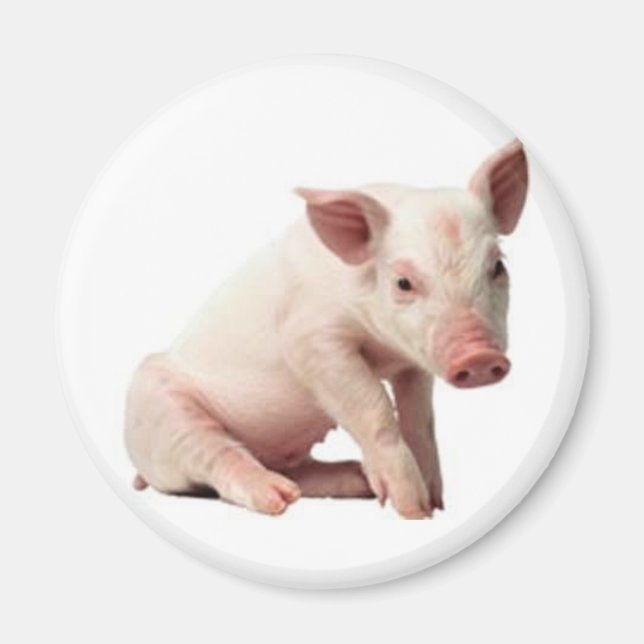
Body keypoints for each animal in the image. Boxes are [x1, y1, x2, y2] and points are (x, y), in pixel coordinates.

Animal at [125, 139, 528, 519]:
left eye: (497, 267)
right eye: (403, 282)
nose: (479, 356)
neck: (383, 347)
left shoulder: (413, 361)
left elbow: (420, 419)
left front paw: (436, 503)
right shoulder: (310, 338)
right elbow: (374, 407)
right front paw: (413, 511)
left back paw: (352, 480)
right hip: (165, 413)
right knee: (218, 459)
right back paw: (279, 499)